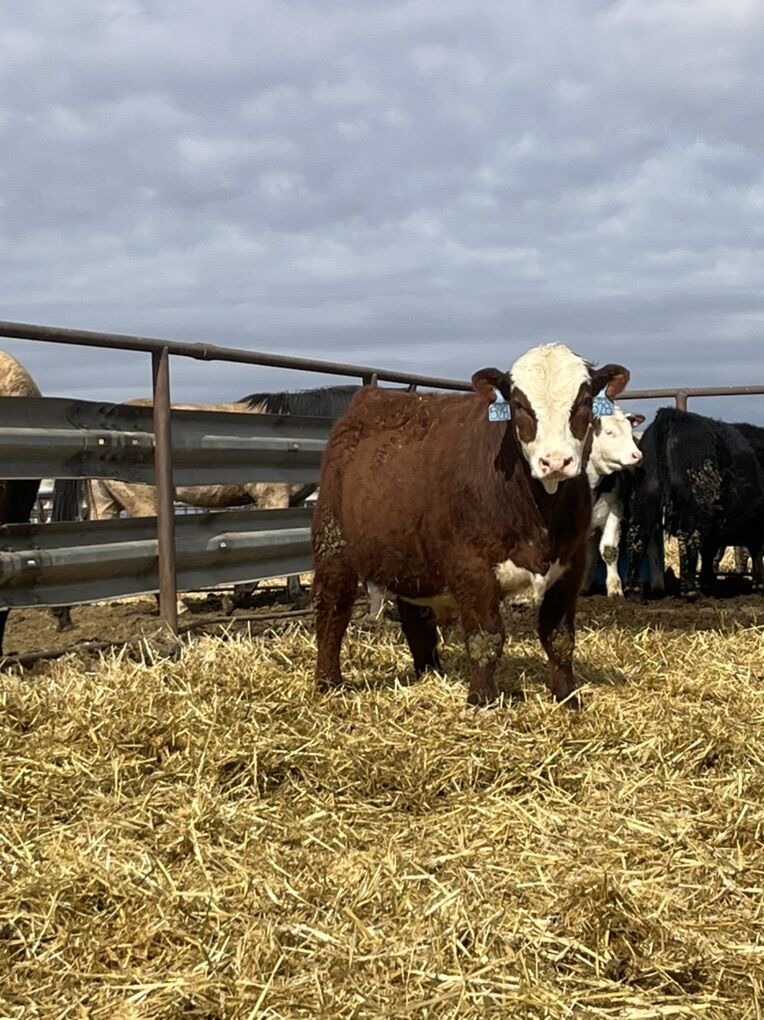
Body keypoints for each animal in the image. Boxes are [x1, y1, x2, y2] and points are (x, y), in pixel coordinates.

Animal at [311, 343, 630, 706]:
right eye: (519, 404)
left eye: (584, 402)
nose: (555, 462)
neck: (540, 511)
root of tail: (373, 397)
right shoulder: (471, 565)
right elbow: (486, 635)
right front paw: (483, 698)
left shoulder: (571, 564)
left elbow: (559, 637)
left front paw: (566, 696)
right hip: (333, 543)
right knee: (332, 608)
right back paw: (328, 681)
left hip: (409, 555)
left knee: (415, 618)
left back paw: (429, 672)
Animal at [625, 408, 764, 598]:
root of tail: (672, 415)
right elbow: (753, 550)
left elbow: (711, 552)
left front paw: (708, 583)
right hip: (695, 507)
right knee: (688, 540)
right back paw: (690, 590)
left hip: (644, 499)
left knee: (637, 537)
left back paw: (633, 590)